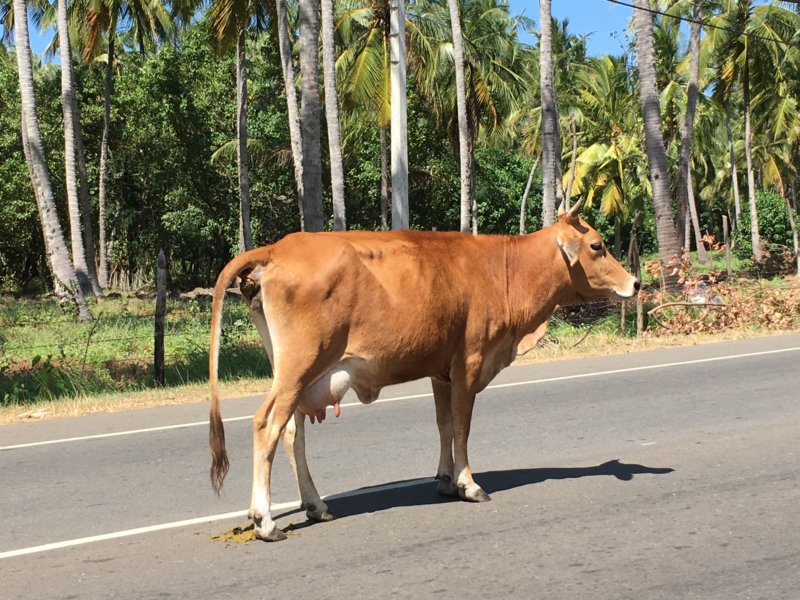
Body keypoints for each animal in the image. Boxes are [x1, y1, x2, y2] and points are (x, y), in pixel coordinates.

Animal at [208, 201, 640, 542]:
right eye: (597, 245)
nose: (636, 283)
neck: (504, 270)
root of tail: (278, 248)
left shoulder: (440, 370)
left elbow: (444, 424)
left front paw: (445, 480)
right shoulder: (469, 363)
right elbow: (463, 427)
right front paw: (469, 484)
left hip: (297, 374)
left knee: (291, 434)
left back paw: (316, 505)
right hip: (299, 366)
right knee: (266, 425)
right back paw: (265, 521)